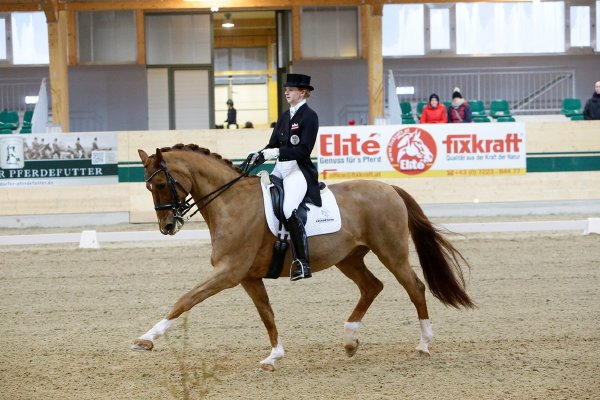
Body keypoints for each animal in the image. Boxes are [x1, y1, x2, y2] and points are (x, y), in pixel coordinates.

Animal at [132, 145, 474, 372]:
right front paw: (274, 356)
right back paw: (350, 341)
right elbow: (267, 314)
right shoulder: (248, 277)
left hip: (391, 252)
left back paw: (424, 344)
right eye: (148, 186)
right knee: (372, 287)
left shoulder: (229, 272)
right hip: (348, 258)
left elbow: (185, 300)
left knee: (415, 287)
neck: (231, 202)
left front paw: (147, 339)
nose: (167, 227)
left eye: (160, 184)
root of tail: (389, 187)